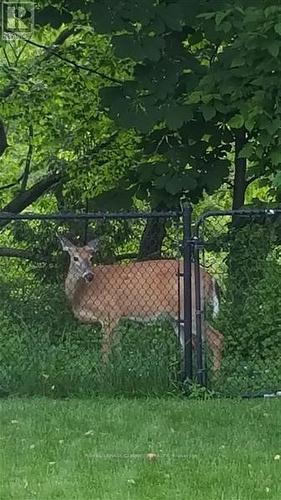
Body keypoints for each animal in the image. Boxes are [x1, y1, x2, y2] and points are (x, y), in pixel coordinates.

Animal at [57, 235, 223, 372]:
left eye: (91, 258)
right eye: (75, 258)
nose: (89, 275)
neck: (80, 293)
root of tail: (210, 278)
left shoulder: (109, 314)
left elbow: (105, 350)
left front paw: (103, 374)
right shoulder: (118, 319)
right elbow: (118, 348)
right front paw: (119, 368)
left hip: (190, 308)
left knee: (217, 338)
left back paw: (216, 378)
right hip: (177, 317)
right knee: (191, 345)